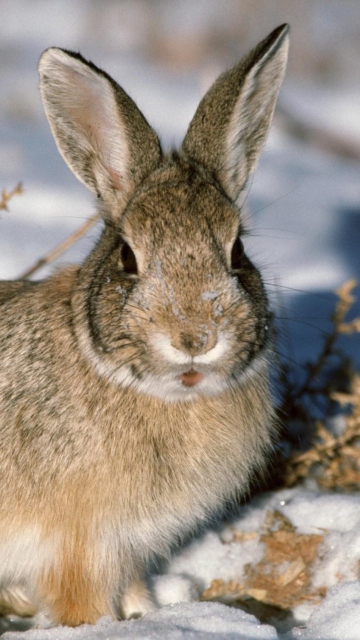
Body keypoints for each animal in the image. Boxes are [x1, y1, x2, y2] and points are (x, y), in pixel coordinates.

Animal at [0, 23, 290, 624]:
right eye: (128, 258)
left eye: (237, 252)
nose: (195, 338)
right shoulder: (78, 546)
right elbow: (83, 606)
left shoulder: (125, 548)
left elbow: (131, 589)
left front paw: (148, 615)